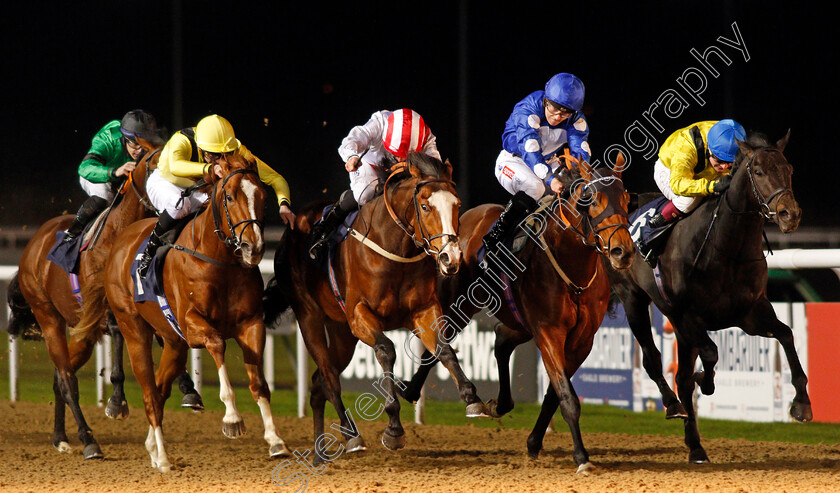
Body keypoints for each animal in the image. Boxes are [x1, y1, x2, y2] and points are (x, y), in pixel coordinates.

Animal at [8, 134, 164, 458]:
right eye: (153, 164)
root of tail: (33, 245)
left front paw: (188, 389)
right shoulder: (107, 308)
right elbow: (118, 336)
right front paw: (116, 402)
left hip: (82, 332)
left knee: (59, 377)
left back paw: (60, 436)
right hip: (49, 318)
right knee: (67, 380)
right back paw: (88, 439)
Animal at [99, 154, 286, 472]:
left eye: (261, 196)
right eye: (229, 196)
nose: (255, 247)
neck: (219, 260)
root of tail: (120, 241)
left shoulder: (251, 324)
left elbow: (259, 384)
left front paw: (275, 440)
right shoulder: (192, 324)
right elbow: (218, 344)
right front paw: (232, 418)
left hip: (173, 343)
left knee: (160, 389)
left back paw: (153, 447)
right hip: (134, 329)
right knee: (150, 395)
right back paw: (162, 457)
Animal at [266, 153, 482, 462]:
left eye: (458, 205)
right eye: (425, 206)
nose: (450, 258)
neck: (395, 247)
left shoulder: (423, 310)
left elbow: (444, 349)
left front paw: (471, 396)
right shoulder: (359, 314)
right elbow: (386, 350)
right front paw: (393, 428)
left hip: (342, 332)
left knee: (318, 383)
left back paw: (320, 452)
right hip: (309, 316)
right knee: (328, 378)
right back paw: (351, 434)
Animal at [398, 156, 632, 470]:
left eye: (626, 199)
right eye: (592, 200)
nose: (623, 251)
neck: (573, 268)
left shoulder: (582, 341)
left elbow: (555, 395)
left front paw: (534, 442)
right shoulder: (548, 332)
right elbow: (567, 396)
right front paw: (582, 457)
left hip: (518, 322)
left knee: (500, 340)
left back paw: (500, 403)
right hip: (460, 303)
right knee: (438, 341)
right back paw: (413, 390)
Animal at [608, 130, 812, 462]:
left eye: (790, 169)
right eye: (758, 171)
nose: (788, 214)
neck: (727, 248)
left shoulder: (751, 314)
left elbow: (787, 335)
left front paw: (801, 403)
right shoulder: (686, 316)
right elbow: (712, 354)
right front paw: (706, 380)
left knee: (680, 376)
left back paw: (695, 445)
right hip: (633, 300)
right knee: (654, 361)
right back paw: (674, 406)